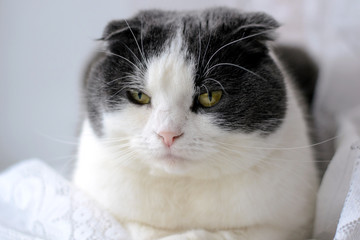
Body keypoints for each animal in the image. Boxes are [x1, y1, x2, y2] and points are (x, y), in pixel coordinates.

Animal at [72, 7, 318, 240]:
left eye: (210, 97)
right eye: (139, 96)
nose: (167, 134)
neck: (182, 186)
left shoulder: (293, 224)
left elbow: (228, 234)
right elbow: (136, 227)